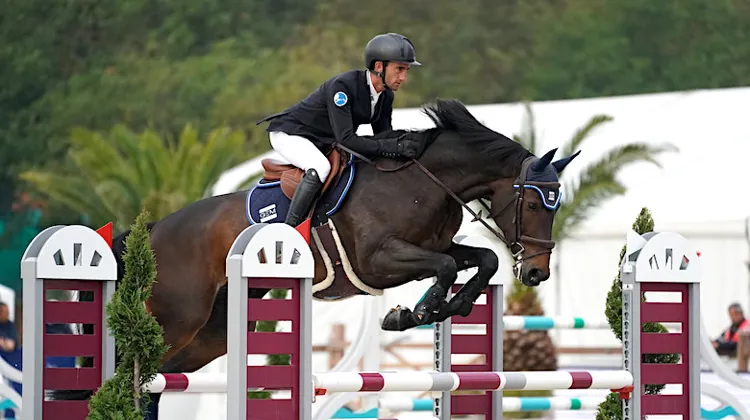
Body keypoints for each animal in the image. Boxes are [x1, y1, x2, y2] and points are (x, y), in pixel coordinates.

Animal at [56, 99, 581, 417]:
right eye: (536, 204)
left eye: (557, 204)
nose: (536, 271)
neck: (425, 179)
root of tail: (153, 231)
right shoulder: (380, 260)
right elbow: (448, 267)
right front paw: (412, 313)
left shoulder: (434, 246)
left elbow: (480, 261)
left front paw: (447, 306)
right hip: (175, 318)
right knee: (118, 371)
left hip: (210, 335)